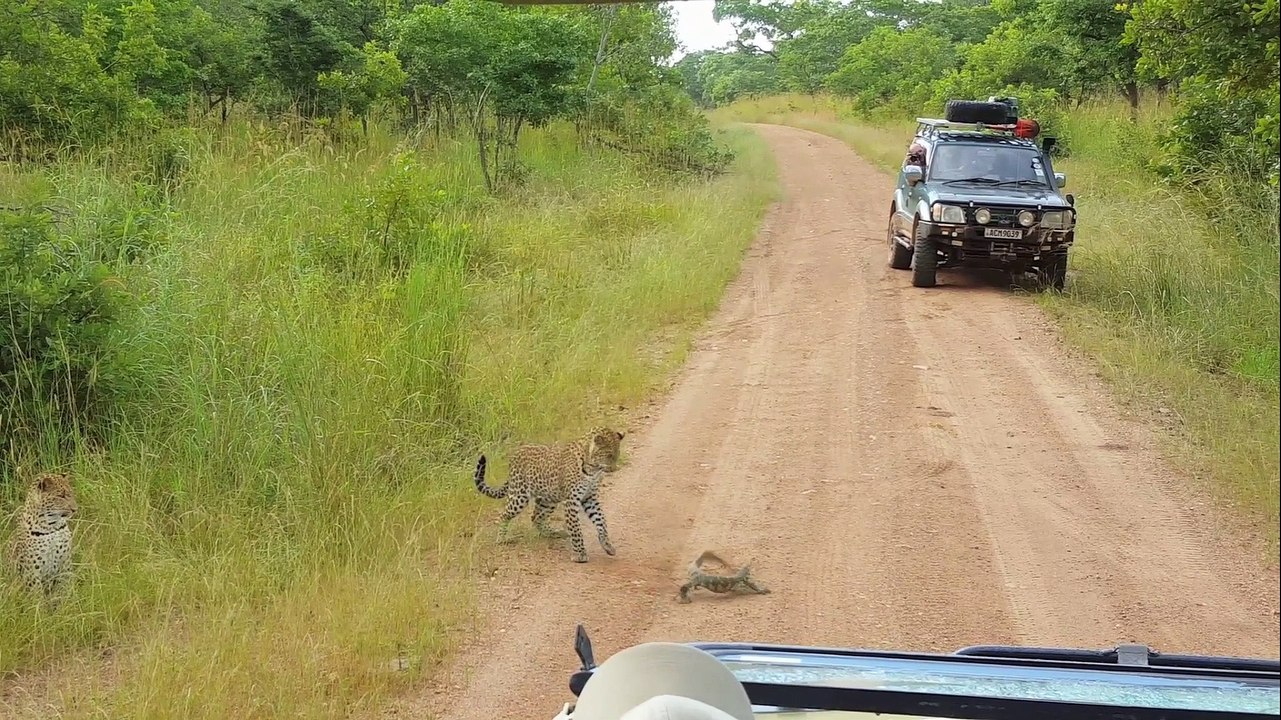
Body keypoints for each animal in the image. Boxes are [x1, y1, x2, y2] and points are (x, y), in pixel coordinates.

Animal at [7, 471, 77, 602]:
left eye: (70, 494)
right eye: (61, 496)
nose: (75, 509)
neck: (52, 527)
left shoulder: (65, 563)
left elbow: (65, 587)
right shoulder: (32, 571)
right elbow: (36, 595)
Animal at [473, 426, 625, 563]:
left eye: (617, 455)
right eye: (609, 455)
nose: (614, 469)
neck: (592, 469)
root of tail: (515, 453)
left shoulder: (589, 498)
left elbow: (601, 520)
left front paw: (607, 545)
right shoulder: (571, 500)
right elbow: (576, 529)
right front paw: (580, 554)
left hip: (549, 499)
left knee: (536, 517)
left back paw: (553, 533)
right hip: (519, 496)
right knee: (504, 515)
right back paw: (501, 539)